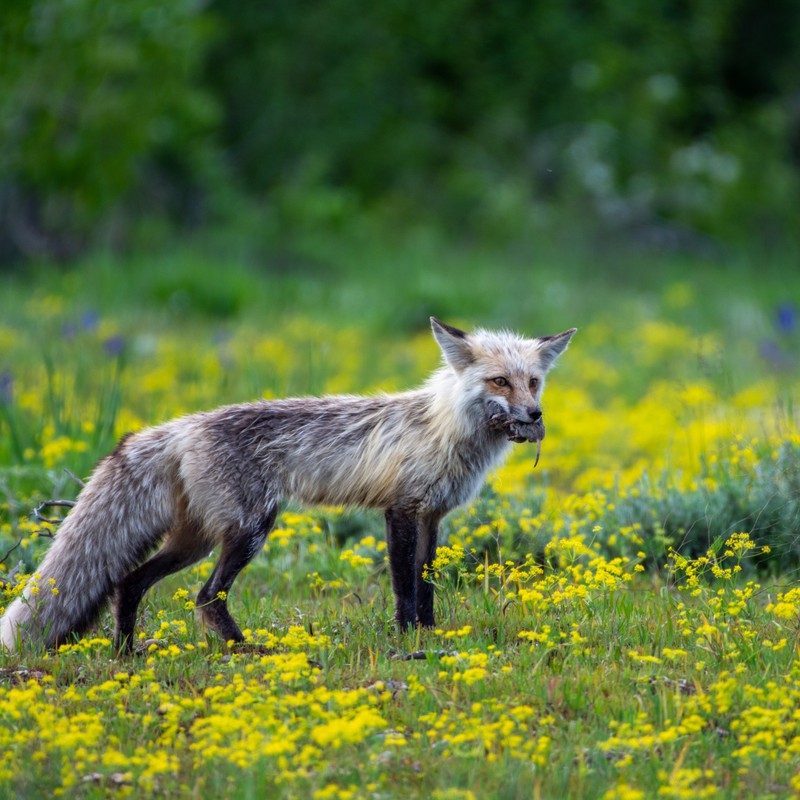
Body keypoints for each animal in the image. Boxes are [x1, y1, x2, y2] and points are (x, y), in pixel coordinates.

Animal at [0, 316, 576, 652]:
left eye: (533, 381)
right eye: (499, 381)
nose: (535, 414)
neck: (443, 428)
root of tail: (181, 426)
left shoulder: (434, 515)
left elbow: (428, 581)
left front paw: (432, 636)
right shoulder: (400, 509)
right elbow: (403, 587)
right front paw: (408, 639)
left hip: (197, 539)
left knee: (130, 581)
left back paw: (126, 653)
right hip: (250, 529)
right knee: (205, 596)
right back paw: (246, 650)